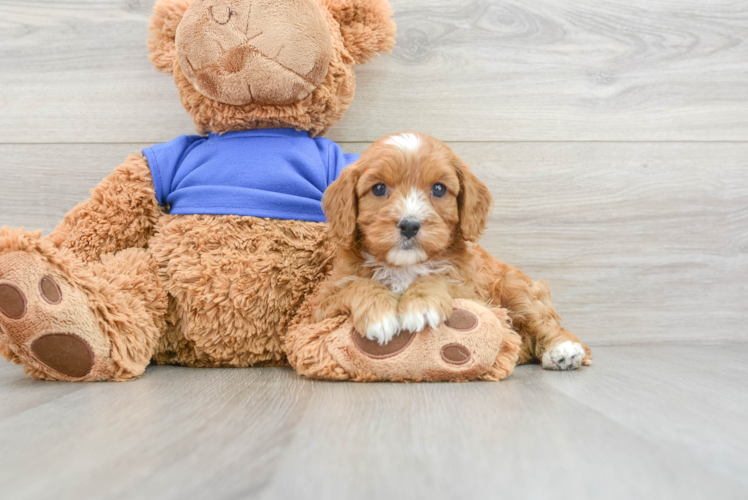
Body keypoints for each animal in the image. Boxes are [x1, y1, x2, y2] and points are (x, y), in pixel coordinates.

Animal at [316, 131, 592, 370]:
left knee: (545, 321)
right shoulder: (321, 302)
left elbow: (439, 278)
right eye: (378, 188)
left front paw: (421, 304)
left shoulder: (474, 294)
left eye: (439, 189)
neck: (406, 266)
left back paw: (565, 350)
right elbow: (357, 285)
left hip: (516, 288)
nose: (409, 225)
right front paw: (380, 315)